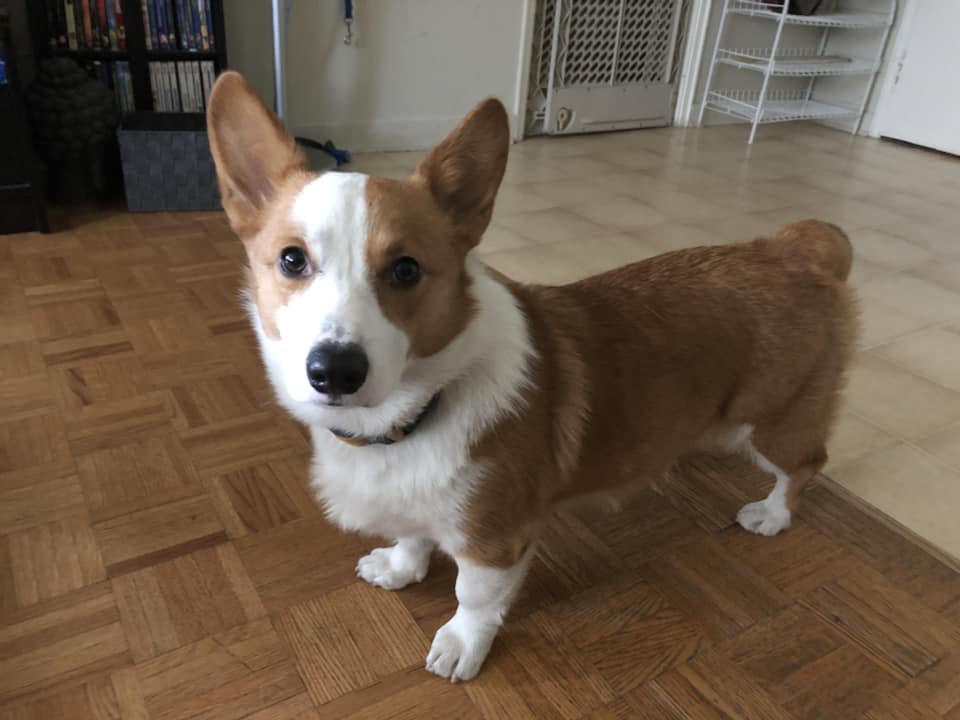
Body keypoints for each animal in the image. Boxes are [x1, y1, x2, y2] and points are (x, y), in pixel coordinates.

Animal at [206, 71, 860, 680]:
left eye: (407, 269)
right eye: (292, 260)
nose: (334, 371)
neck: (411, 417)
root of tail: (791, 249)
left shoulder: (494, 540)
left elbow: (473, 598)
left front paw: (462, 646)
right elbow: (415, 535)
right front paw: (400, 566)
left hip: (773, 423)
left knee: (807, 464)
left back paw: (772, 514)